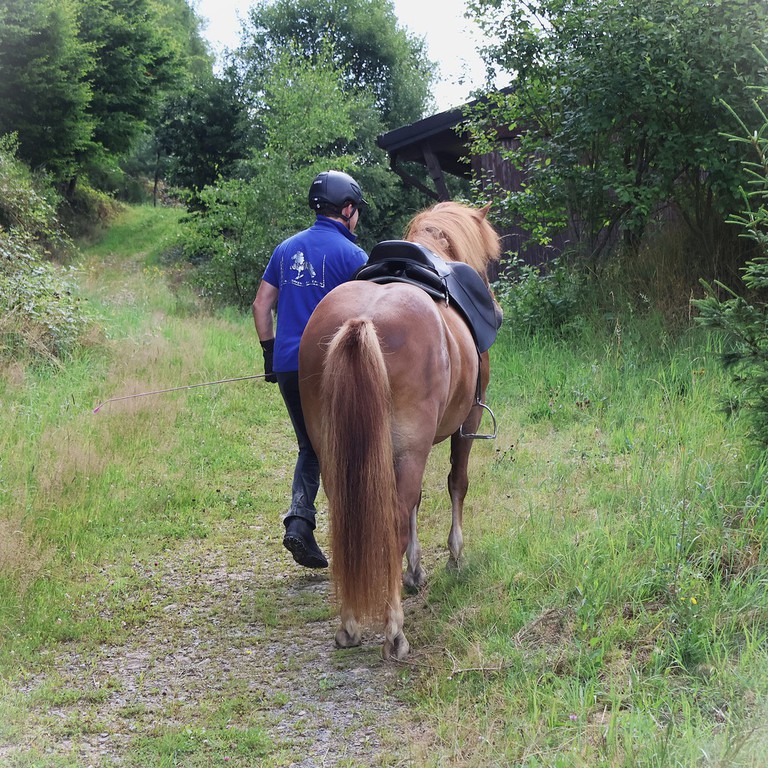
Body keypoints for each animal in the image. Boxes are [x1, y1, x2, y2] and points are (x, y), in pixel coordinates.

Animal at [298, 201, 501, 660]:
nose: (495, 308)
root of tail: (362, 321)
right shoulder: (466, 425)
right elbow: (455, 484)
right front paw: (453, 558)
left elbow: (417, 501)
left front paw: (415, 570)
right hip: (413, 445)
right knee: (391, 519)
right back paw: (394, 633)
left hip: (336, 453)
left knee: (348, 519)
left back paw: (349, 625)